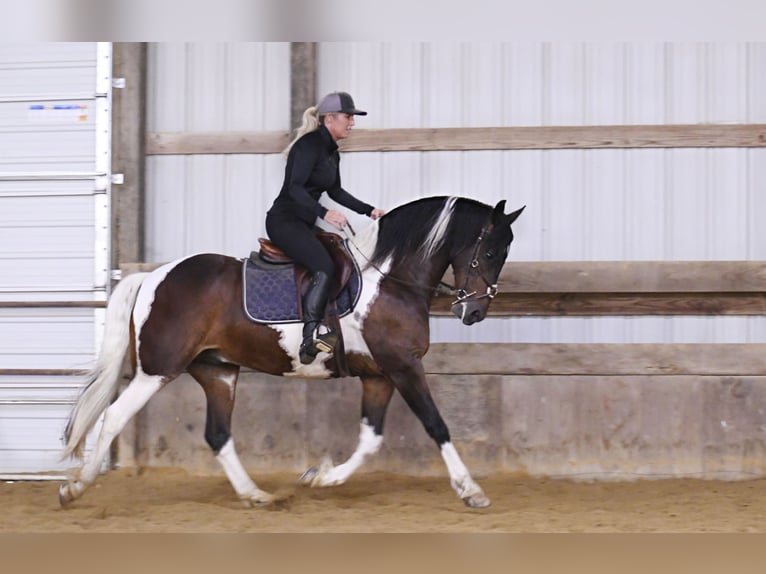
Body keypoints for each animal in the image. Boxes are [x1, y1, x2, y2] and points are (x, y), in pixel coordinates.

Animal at [61, 197, 520, 508]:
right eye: (490, 251)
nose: (475, 312)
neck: (389, 279)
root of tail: (153, 276)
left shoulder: (379, 375)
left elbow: (371, 439)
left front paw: (321, 477)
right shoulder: (404, 368)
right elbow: (436, 425)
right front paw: (471, 490)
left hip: (218, 371)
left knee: (218, 434)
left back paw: (256, 494)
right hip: (157, 370)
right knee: (114, 417)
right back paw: (75, 487)